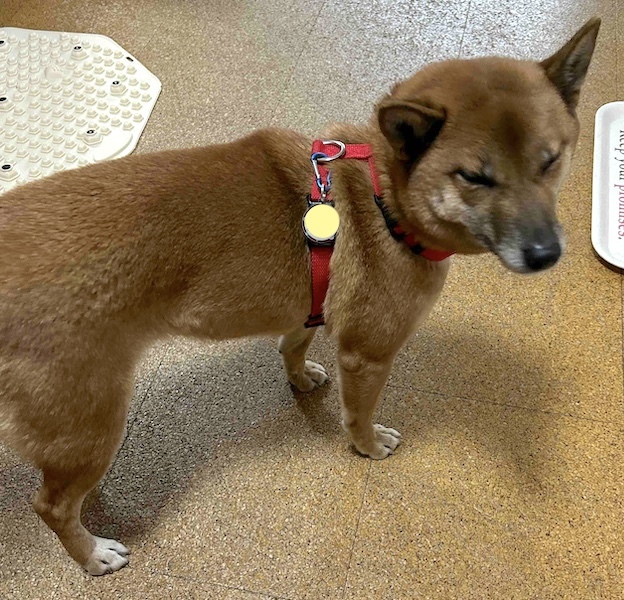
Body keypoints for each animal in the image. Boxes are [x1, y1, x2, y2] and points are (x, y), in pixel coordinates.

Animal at [0, 18, 600, 575]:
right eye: (474, 177)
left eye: (551, 161)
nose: (546, 254)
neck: (381, 198)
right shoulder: (367, 355)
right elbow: (359, 415)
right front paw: (367, 445)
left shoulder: (310, 305)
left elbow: (294, 344)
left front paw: (301, 377)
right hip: (86, 417)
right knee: (51, 505)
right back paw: (91, 553)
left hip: (84, 424)